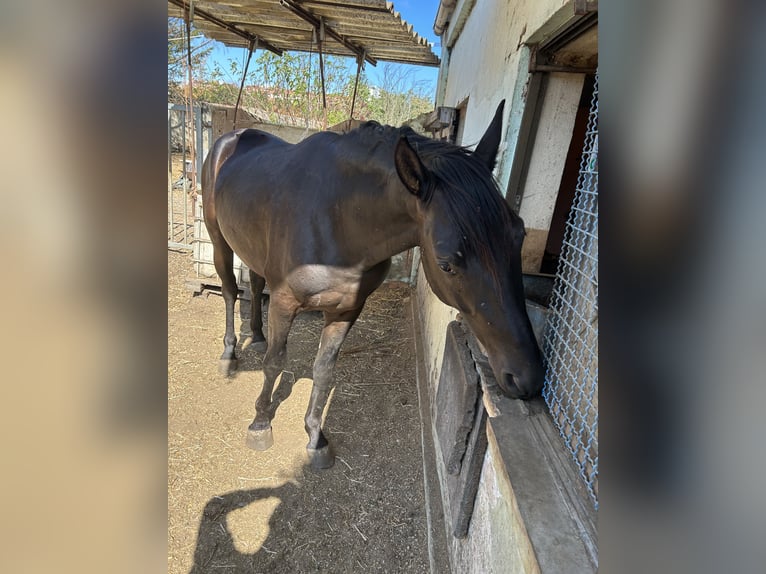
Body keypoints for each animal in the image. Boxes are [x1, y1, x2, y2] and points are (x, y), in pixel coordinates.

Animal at [201, 101, 544, 469]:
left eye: (519, 235)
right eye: (446, 263)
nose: (527, 377)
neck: (338, 216)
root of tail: (234, 136)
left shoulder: (347, 308)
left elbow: (324, 371)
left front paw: (315, 438)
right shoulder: (284, 302)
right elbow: (275, 363)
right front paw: (261, 424)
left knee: (254, 282)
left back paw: (257, 335)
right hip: (218, 238)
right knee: (229, 289)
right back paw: (229, 353)